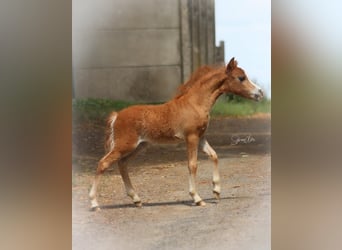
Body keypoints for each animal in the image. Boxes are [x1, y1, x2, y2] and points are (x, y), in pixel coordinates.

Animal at [89, 57, 264, 209]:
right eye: (241, 78)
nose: (260, 93)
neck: (195, 103)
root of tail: (117, 115)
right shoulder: (191, 137)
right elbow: (192, 165)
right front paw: (197, 198)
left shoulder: (201, 137)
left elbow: (214, 156)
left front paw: (216, 191)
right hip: (125, 145)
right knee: (103, 163)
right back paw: (94, 203)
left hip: (139, 146)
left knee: (122, 164)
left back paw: (136, 199)